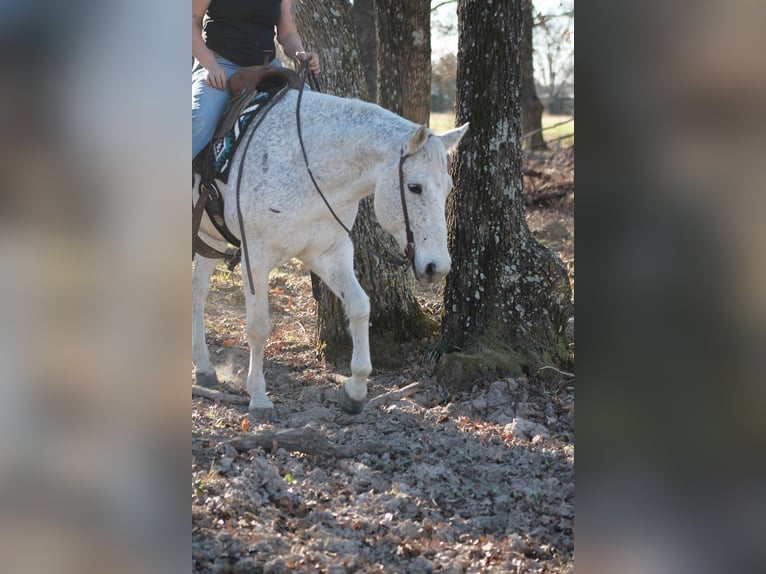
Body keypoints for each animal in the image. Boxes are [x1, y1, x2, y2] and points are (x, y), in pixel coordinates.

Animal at [192, 86, 468, 417]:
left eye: (448, 188)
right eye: (415, 187)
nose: (436, 267)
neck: (305, 165)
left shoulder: (330, 253)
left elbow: (360, 306)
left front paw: (356, 388)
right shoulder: (255, 258)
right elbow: (258, 327)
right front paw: (258, 396)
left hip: (210, 240)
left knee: (197, 291)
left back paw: (204, 367)